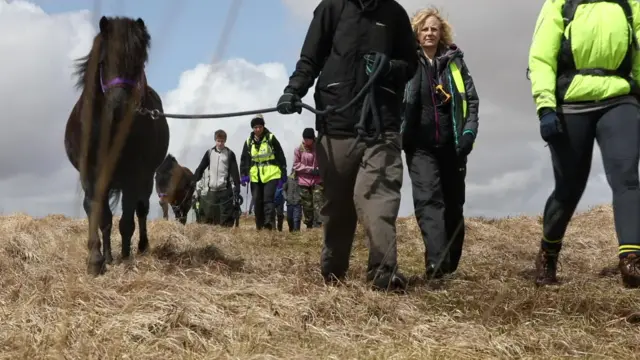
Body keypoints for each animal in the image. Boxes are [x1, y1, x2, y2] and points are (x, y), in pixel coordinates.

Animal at [62, 16, 170, 276]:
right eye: (103, 61)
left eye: (139, 62)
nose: (119, 107)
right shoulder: (90, 175)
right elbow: (98, 214)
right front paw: (96, 260)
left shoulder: (134, 175)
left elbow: (127, 220)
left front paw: (126, 257)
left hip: (146, 179)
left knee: (141, 210)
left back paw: (140, 248)